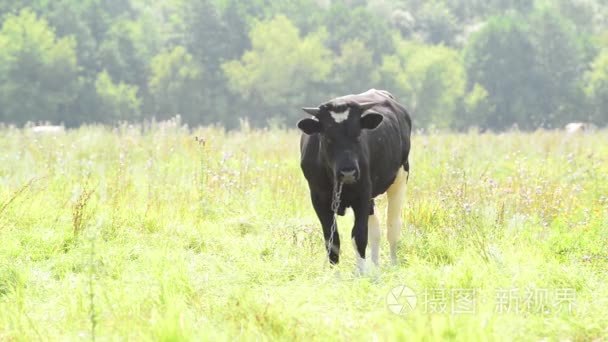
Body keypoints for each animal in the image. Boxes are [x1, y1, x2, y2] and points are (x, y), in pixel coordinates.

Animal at [296, 89, 410, 274]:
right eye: (328, 137)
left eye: (357, 135)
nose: (348, 171)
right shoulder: (318, 199)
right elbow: (332, 241)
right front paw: (334, 274)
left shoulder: (362, 196)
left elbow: (359, 236)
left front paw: (361, 273)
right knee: (376, 229)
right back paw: (375, 267)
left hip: (400, 177)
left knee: (392, 227)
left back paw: (393, 265)